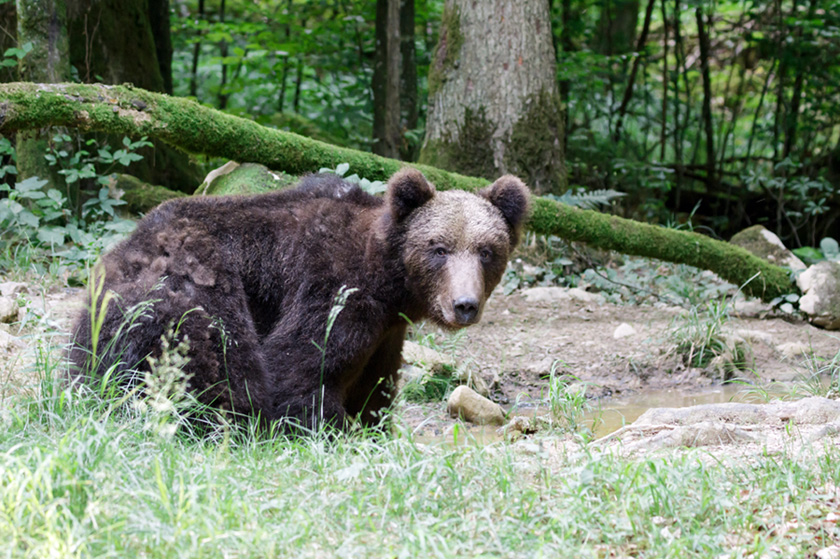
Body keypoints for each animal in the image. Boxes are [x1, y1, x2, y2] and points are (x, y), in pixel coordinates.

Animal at [70, 168, 532, 430]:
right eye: (439, 249)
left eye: (486, 250)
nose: (464, 304)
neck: (388, 281)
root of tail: (120, 254)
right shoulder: (331, 289)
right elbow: (301, 365)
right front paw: (324, 429)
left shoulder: (386, 332)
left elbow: (375, 387)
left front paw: (371, 427)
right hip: (194, 286)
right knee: (223, 359)